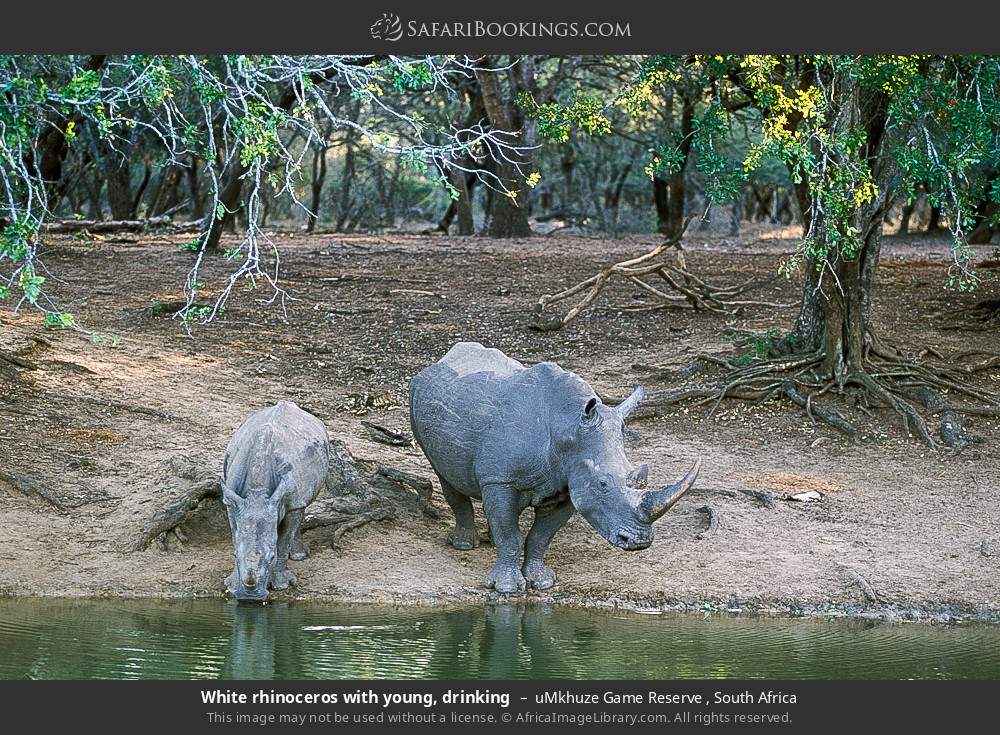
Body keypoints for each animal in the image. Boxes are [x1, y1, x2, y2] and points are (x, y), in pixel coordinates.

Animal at [222, 401, 329, 602]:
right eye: (235, 555)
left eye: (271, 558)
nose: (250, 598)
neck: (257, 494)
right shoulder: (232, 503)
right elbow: (235, 535)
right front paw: (231, 584)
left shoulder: (291, 500)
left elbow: (284, 540)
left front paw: (281, 585)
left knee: (301, 507)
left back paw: (299, 555)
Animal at [409, 342, 700, 594]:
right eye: (602, 484)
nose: (639, 542)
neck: (569, 429)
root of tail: (443, 358)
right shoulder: (500, 480)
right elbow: (510, 534)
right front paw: (507, 588)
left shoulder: (568, 486)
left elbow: (540, 537)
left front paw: (542, 582)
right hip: (418, 398)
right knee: (445, 476)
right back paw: (463, 545)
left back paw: (488, 540)